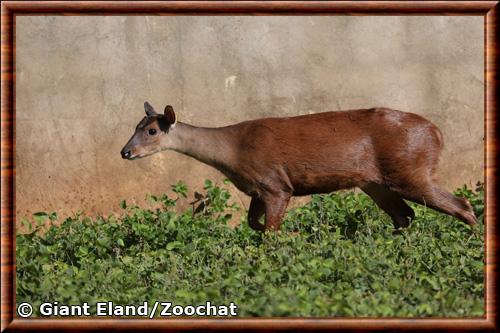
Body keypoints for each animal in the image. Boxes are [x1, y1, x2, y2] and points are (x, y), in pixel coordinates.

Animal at [120, 103, 476, 231]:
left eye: (151, 131)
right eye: (136, 126)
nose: (125, 151)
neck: (233, 151)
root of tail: (437, 133)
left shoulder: (275, 183)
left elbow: (270, 231)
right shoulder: (258, 188)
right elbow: (253, 224)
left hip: (410, 169)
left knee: (462, 204)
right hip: (375, 182)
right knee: (405, 215)